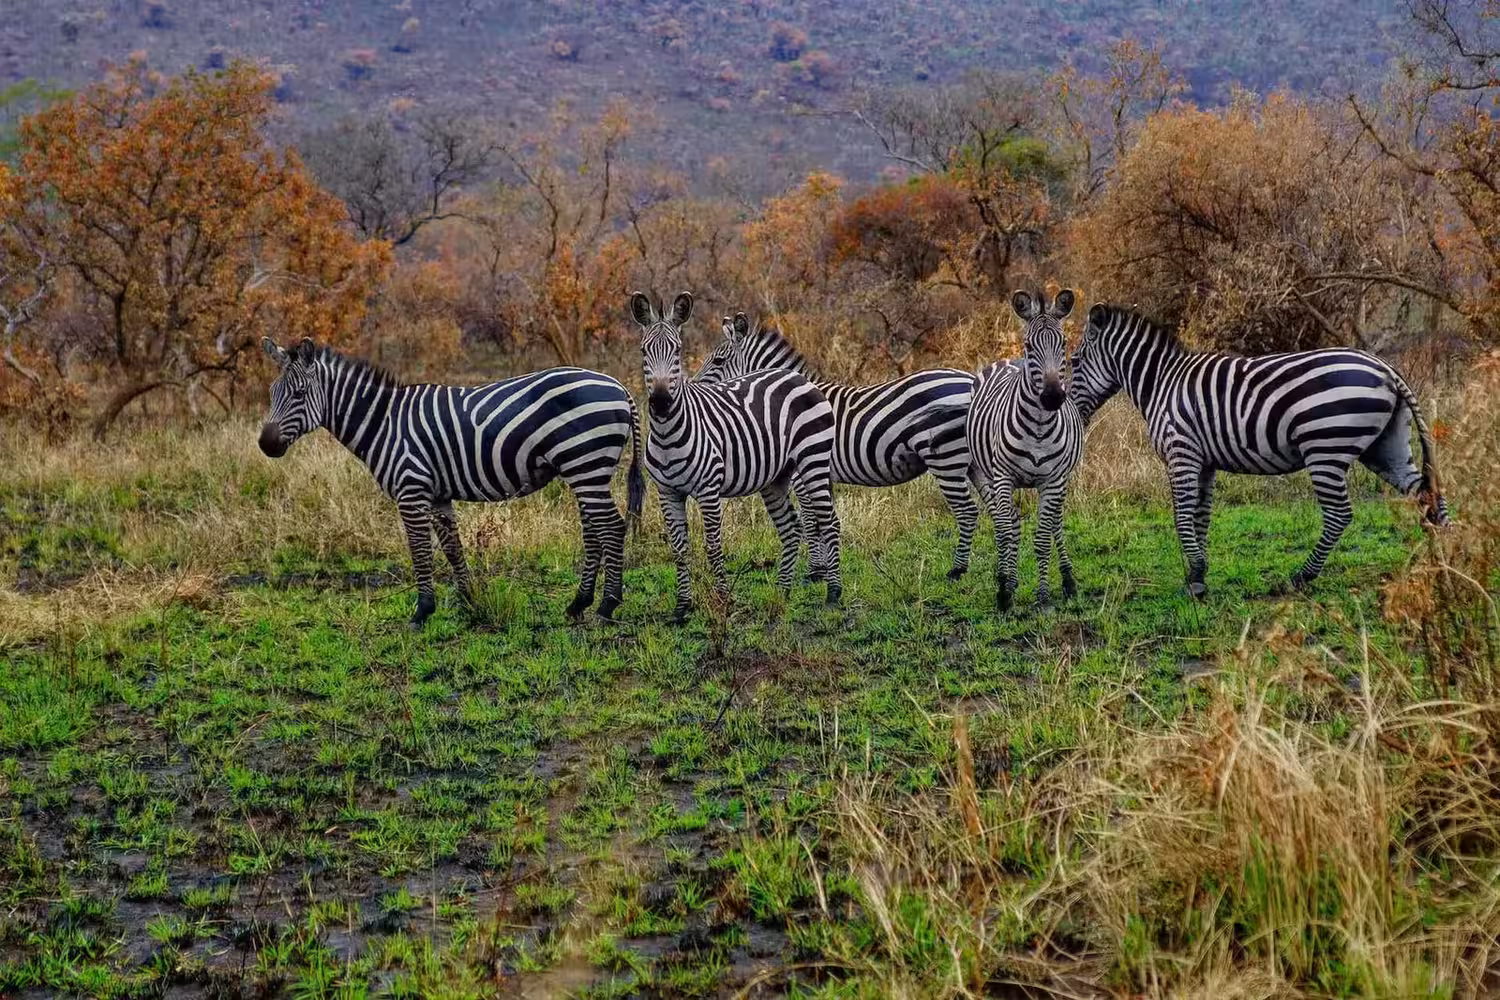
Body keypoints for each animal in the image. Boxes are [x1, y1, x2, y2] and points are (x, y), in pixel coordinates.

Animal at [258, 337, 645, 626]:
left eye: (298, 395)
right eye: (272, 392)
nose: (265, 444)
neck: (384, 423)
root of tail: (618, 386)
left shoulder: (411, 490)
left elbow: (419, 551)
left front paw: (421, 612)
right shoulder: (438, 494)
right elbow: (452, 547)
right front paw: (469, 601)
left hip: (585, 463)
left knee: (612, 527)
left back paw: (607, 605)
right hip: (584, 469)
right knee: (594, 531)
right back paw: (579, 603)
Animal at [631, 291, 842, 620]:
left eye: (677, 351)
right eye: (644, 351)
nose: (662, 402)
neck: (668, 434)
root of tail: (796, 376)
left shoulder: (708, 490)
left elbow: (713, 547)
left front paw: (721, 601)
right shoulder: (667, 492)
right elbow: (679, 550)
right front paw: (682, 608)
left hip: (812, 463)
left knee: (827, 520)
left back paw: (833, 593)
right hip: (775, 478)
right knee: (791, 529)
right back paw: (782, 593)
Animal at [696, 312, 980, 580]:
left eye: (718, 361)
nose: (693, 390)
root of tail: (969, 378)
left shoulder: (802, 474)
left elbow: (811, 521)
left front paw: (815, 571)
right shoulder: (820, 474)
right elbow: (824, 519)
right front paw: (824, 569)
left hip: (945, 458)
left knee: (967, 511)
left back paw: (957, 570)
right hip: (972, 460)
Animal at [967, 289, 1086, 611]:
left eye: (1063, 343)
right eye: (1030, 345)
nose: (1053, 397)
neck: (1039, 426)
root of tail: (1009, 359)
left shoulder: (1053, 480)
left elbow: (1043, 537)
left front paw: (1043, 598)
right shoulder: (1003, 477)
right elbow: (1006, 532)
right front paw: (1004, 593)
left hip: (1061, 480)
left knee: (1055, 523)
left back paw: (1068, 580)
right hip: (989, 474)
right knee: (1006, 523)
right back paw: (1006, 579)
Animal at [1070, 303, 1450, 597]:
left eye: (1073, 362)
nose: (1068, 411)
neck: (1162, 382)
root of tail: (1385, 368)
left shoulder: (1182, 453)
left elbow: (1181, 516)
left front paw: (1195, 578)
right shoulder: (1204, 462)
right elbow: (1201, 517)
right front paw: (1199, 573)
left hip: (1325, 448)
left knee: (1340, 514)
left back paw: (1300, 577)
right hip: (1384, 447)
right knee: (1425, 493)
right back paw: (1447, 564)